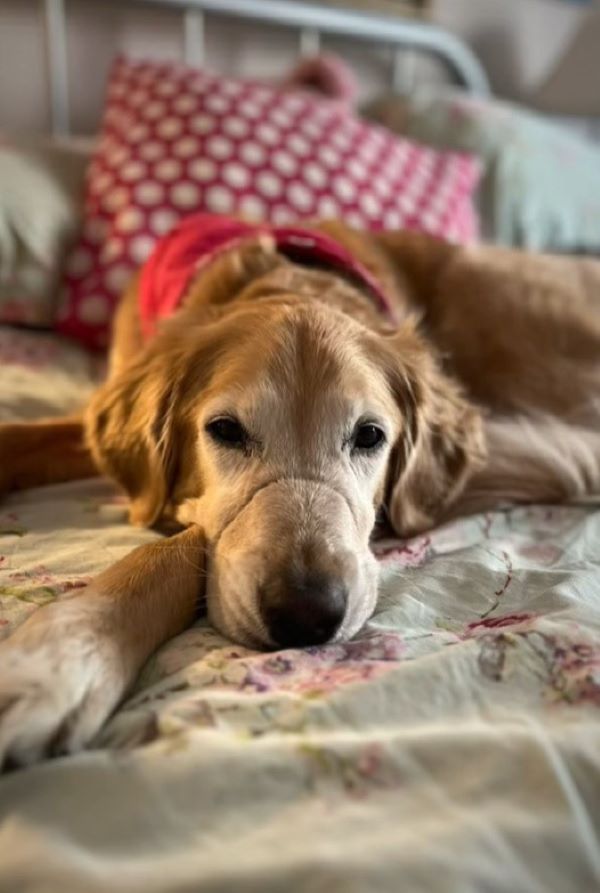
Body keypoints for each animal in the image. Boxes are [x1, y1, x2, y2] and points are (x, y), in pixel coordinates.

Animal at [1, 216, 600, 768]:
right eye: (225, 430)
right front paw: (62, 655)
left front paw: (64, 656)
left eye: (370, 436)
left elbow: (181, 546)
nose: (307, 613)